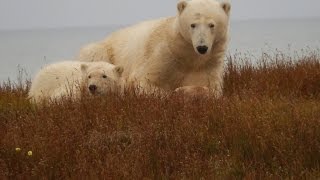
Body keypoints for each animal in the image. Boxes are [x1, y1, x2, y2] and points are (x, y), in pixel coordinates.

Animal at [79, 0, 231, 96]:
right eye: (193, 24)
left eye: (211, 25)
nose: (202, 47)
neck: (185, 55)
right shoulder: (162, 55)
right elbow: (144, 81)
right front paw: (172, 92)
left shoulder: (208, 63)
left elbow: (212, 89)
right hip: (104, 49)